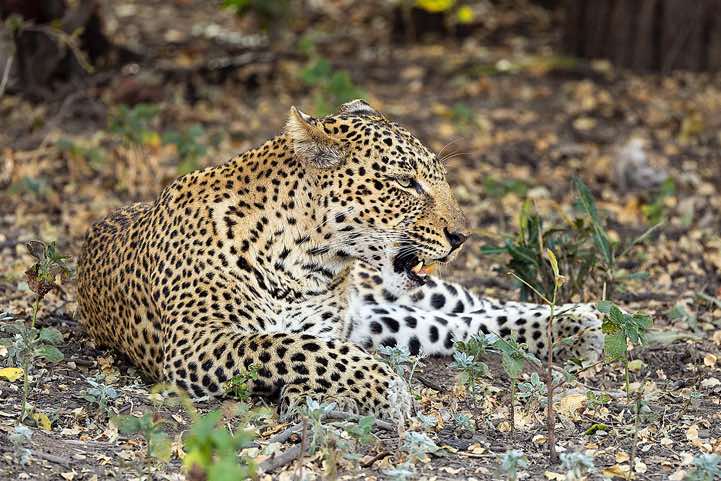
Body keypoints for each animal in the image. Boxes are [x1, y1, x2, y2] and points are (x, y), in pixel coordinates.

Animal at [77, 99, 603, 423]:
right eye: (406, 182)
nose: (461, 237)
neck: (306, 262)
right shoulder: (196, 342)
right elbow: (298, 348)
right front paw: (380, 390)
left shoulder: (326, 324)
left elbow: (308, 348)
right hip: (378, 313)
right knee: (457, 323)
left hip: (394, 294)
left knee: (472, 306)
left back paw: (579, 320)